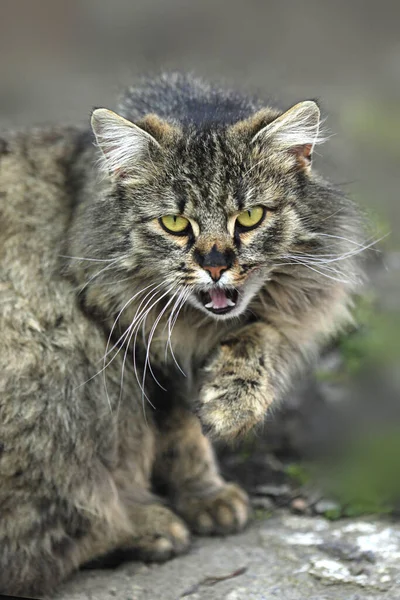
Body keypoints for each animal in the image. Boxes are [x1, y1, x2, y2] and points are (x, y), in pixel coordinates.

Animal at [0, 71, 366, 596]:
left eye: (249, 217)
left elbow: (260, 337)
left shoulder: (278, 312)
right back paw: (148, 527)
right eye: (175, 223)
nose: (215, 265)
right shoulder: (134, 344)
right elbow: (180, 433)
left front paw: (233, 403)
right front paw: (204, 495)